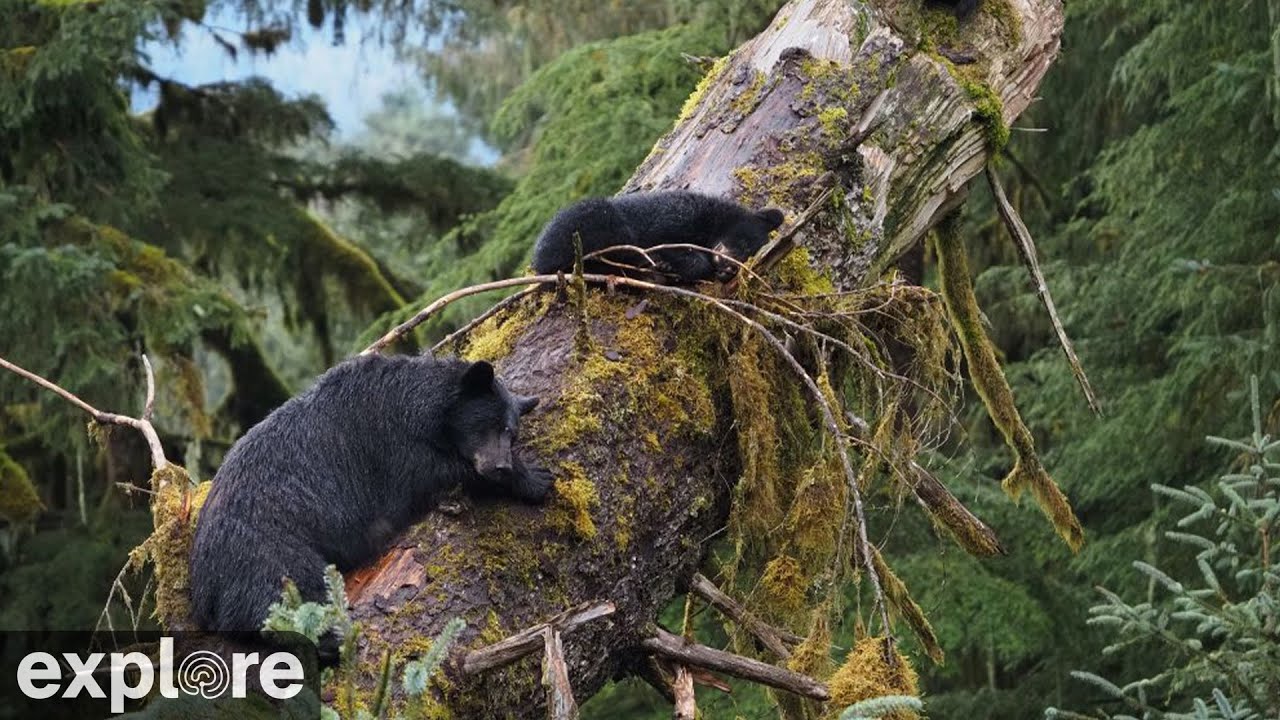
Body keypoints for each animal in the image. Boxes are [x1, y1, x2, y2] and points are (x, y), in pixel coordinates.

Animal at [189, 354, 551, 633]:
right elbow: (434, 474)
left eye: (512, 432)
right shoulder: (389, 443)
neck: (417, 407)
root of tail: (202, 590)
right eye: (494, 426)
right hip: (264, 547)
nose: (500, 465)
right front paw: (535, 478)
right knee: (282, 593)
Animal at [530, 191, 785, 284]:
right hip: (589, 221)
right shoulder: (678, 215)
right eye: (742, 244)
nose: (729, 267)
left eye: (749, 257)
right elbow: (664, 239)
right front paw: (672, 264)